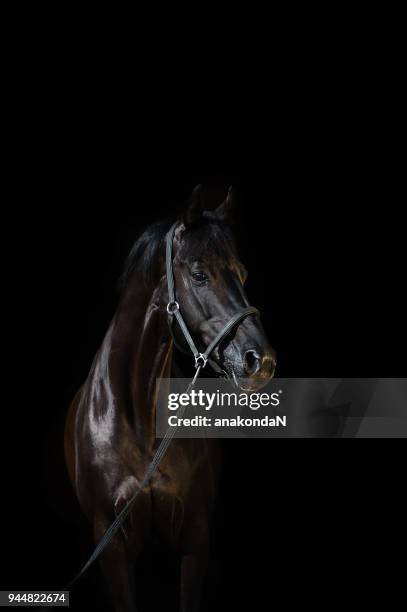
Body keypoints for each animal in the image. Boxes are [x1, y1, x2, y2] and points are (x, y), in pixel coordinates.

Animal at [64, 184, 278, 608]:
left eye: (243, 273)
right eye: (199, 275)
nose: (260, 361)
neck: (139, 421)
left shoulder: (195, 539)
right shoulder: (111, 549)